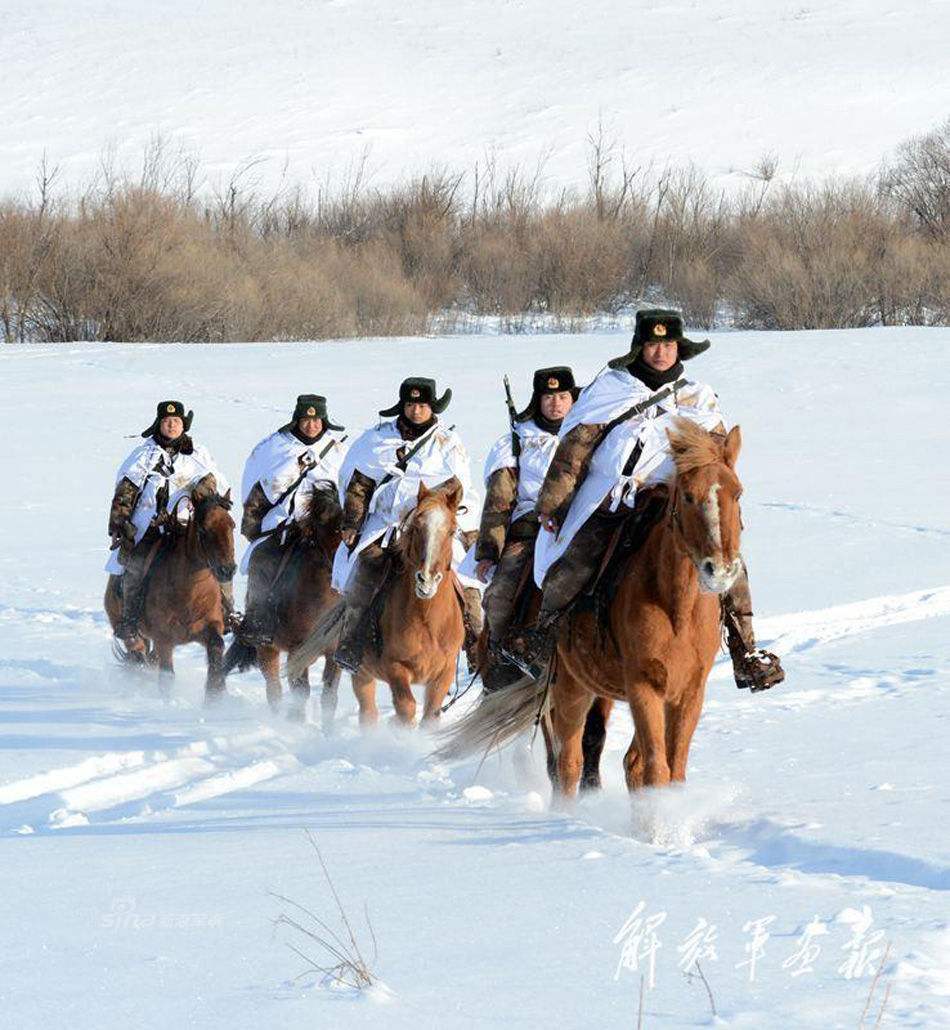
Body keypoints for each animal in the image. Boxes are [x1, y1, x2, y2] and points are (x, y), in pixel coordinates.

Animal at [102, 490, 236, 700]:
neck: (190, 595)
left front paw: (214, 695)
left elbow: (217, 647)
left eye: (232, 525)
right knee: (138, 652)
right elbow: (167, 677)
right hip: (128, 630)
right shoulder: (164, 639)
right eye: (203, 530)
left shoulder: (210, 628)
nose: (227, 570)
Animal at [220, 484, 342, 721]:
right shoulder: (296, 650)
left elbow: (330, 697)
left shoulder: (333, 653)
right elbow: (300, 693)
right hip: (267, 648)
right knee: (273, 689)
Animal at [288, 479, 465, 729]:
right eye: (416, 527)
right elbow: (406, 707)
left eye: (451, 531)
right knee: (368, 713)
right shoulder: (395, 668)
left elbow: (430, 715)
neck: (427, 621)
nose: (426, 580)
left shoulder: (444, 673)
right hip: (362, 675)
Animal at [434, 418, 741, 795]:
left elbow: (669, 770)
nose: (721, 570)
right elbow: (655, 769)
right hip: (568, 687)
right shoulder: (643, 687)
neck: (676, 610)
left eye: (737, 493)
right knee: (566, 762)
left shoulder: (689, 692)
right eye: (687, 496)